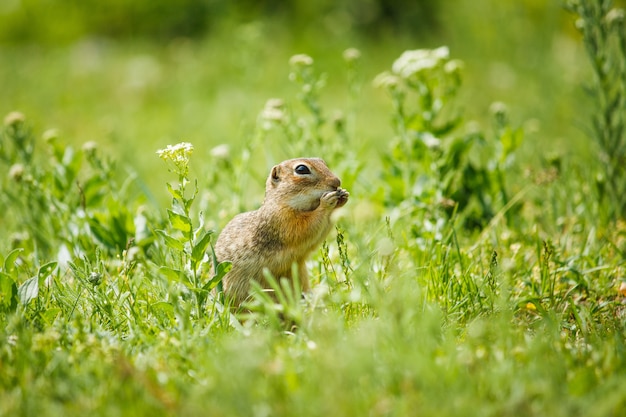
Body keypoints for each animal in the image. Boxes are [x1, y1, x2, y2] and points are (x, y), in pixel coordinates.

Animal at [214, 158, 348, 304]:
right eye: (301, 169)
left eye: (322, 161)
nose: (337, 182)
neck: (281, 202)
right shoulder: (283, 221)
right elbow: (307, 227)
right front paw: (327, 202)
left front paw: (343, 196)